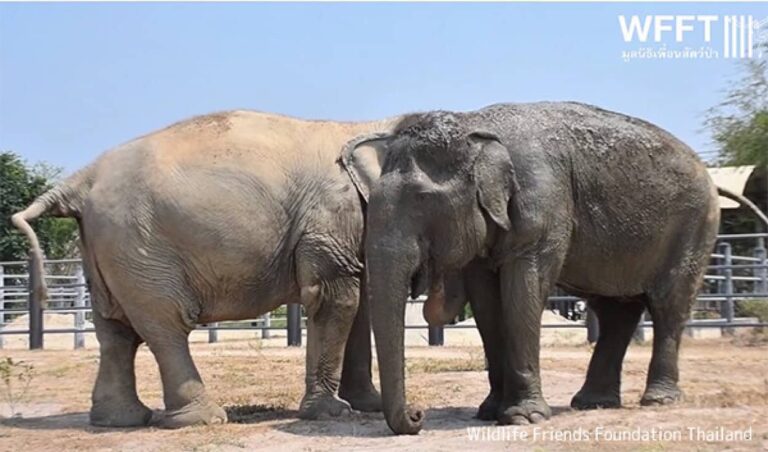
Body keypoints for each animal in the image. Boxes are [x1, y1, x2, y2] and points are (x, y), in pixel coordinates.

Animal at [12, 110, 401, 428]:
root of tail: (81, 180)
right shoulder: (329, 217)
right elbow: (335, 298)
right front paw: (332, 412)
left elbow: (359, 300)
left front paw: (366, 405)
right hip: (138, 247)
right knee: (165, 324)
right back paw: (202, 419)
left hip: (106, 249)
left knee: (114, 330)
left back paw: (118, 421)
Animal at [341, 102, 768, 434]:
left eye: (422, 202)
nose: (418, 415)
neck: (477, 126)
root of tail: (713, 179)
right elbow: (487, 303)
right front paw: (489, 412)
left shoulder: (541, 202)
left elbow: (524, 289)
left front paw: (523, 418)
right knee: (616, 311)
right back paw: (592, 403)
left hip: (695, 227)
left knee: (667, 306)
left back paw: (658, 401)